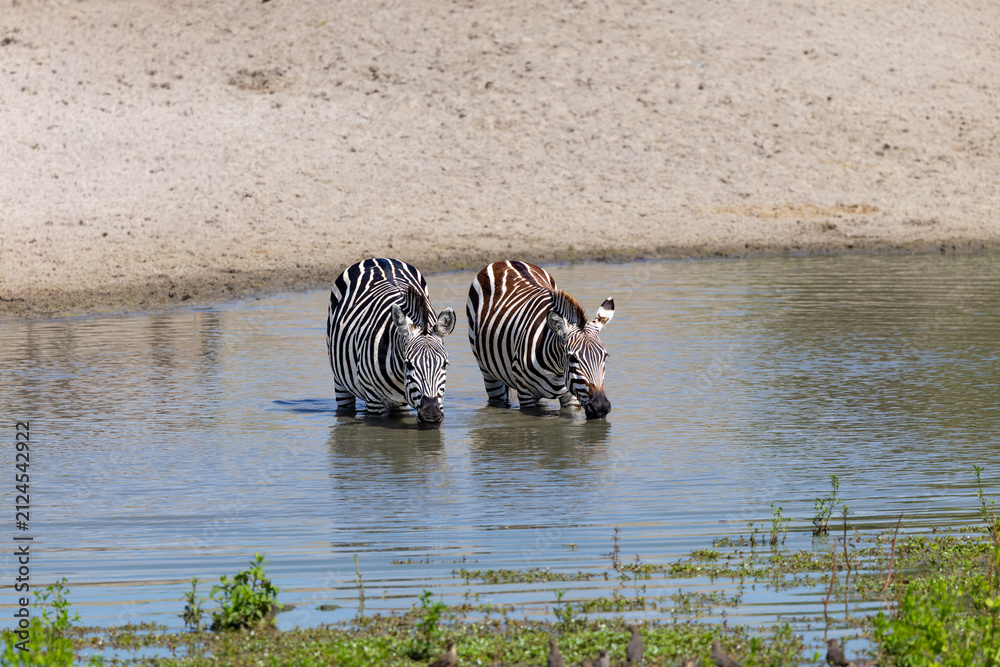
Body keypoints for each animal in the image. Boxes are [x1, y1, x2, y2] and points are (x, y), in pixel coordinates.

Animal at [326, 258, 456, 424]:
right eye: (408, 364)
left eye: (444, 364)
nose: (431, 415)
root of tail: (377, 259)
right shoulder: (374, 398)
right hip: (340, 382)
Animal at [466, 260, 615, 419]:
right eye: (572, 358)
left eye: (605, 357)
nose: (600, 407)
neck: (556, 370)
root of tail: (506, 261)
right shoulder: (526, 394)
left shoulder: (572, 397)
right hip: (487, 371)